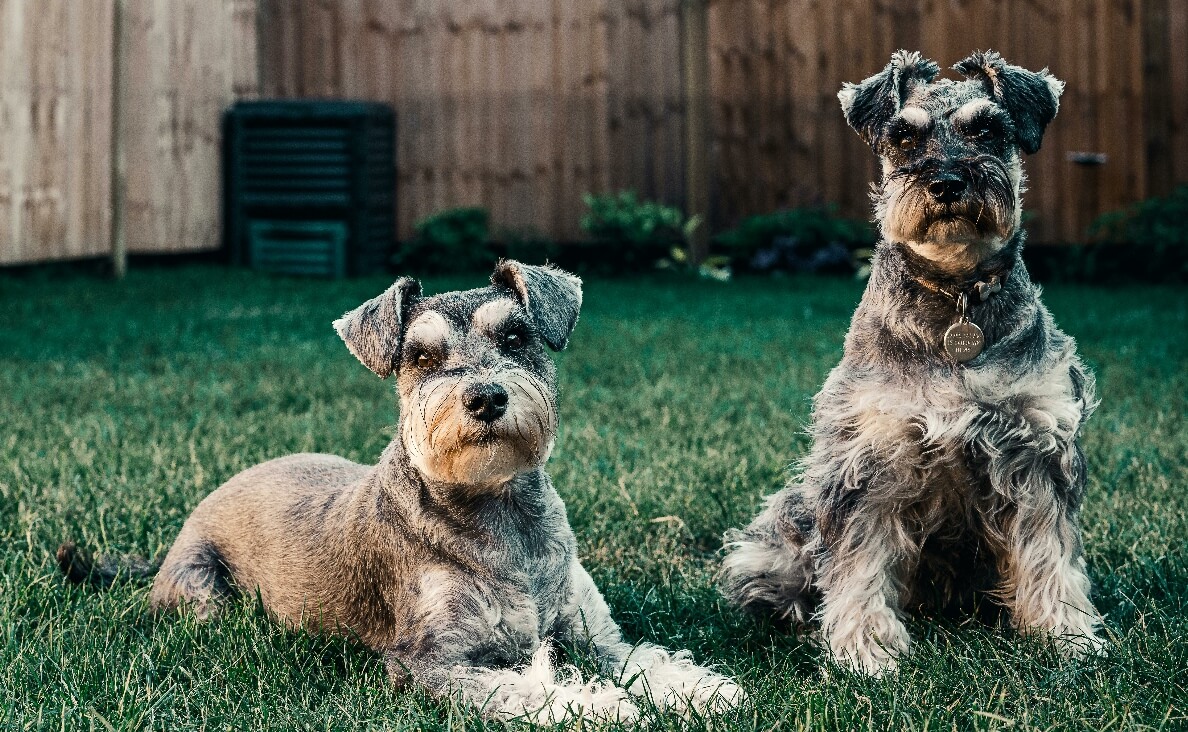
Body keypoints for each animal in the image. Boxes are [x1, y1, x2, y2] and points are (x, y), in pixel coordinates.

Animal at [62, 260, 741, 722]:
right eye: (421, 356)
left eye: (516, 338)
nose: (486, 398)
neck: (499, 511)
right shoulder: (429, 661)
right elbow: (523, 688)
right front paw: (599, 707)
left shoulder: (594, 636)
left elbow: (645, 660)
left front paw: (702, 689)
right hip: (206, 598)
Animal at [722, 51, 1102, 679]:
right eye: (903, 137)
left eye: (988, 130)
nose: (947, 183)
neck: (956, 296)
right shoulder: (869, 458)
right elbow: (858, 564)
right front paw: (865, 650)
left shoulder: (1037, 450)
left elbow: (1050, 553)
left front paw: (1065, 635)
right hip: (781, 532)